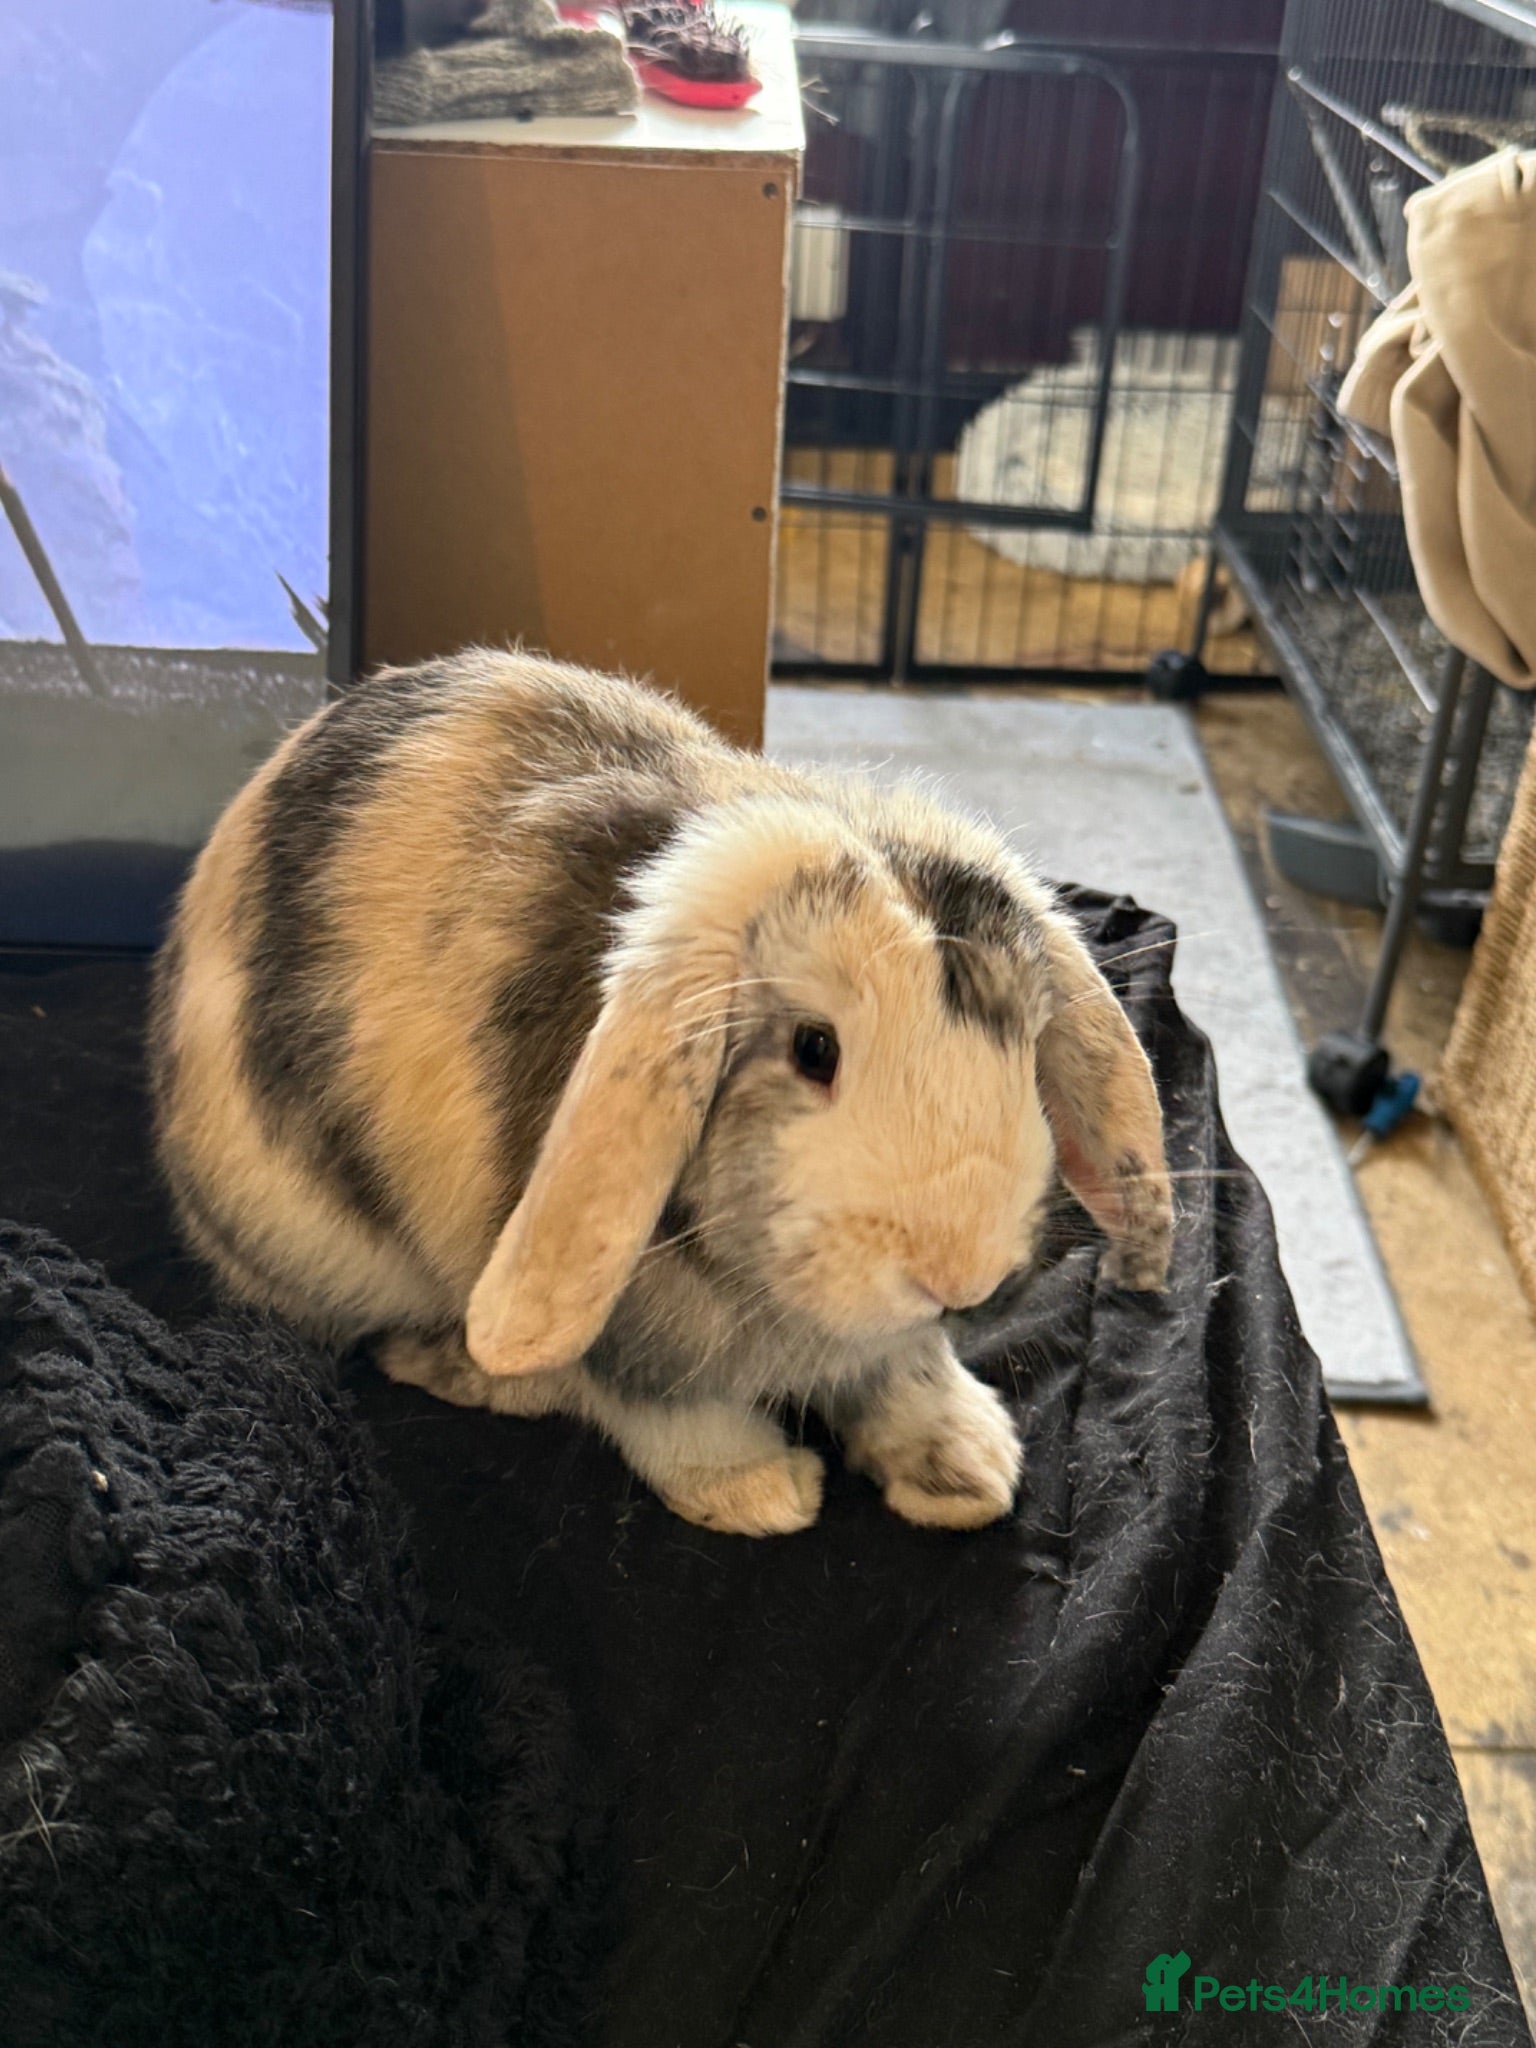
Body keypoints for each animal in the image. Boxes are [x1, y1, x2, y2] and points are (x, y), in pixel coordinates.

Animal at [150, 648, 1172, 1538]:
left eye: (1024, 1045)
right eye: (814, 1049)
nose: (963, 1278)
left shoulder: (886, 1340)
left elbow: (904, 1368)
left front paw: (966, 1467)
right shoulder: (623, 1330)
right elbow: (659, 1406)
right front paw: (759, 1492)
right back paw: (476, 1372)